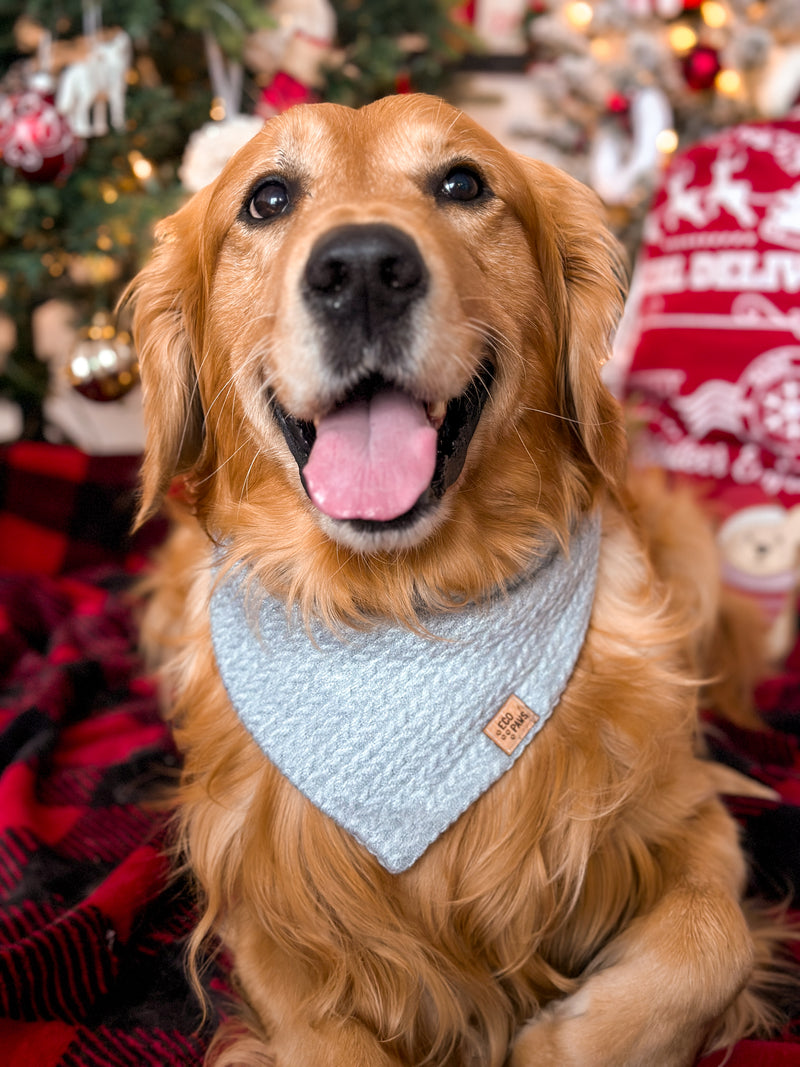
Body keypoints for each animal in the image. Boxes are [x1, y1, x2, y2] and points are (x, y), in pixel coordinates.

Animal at [128, 96, 785, 1062]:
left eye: (463, 184)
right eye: (268, 198)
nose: (363, 268)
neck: (406, 605)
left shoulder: (687, 811)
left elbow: (714, 940)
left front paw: (556, 1041)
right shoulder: (264, 906)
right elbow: (332, 1039)